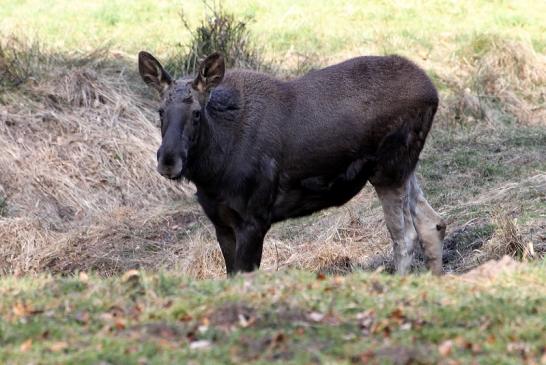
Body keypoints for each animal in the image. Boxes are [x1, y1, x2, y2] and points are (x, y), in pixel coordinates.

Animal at [138, 50, 444, 272]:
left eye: (197, 113)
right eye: (160, 111)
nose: (168, 160)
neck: (212, 173)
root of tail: (434, 93)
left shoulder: (255, 218)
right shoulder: (221, 222)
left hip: (388, 168)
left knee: (405, 236)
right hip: (404, 167)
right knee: (432, 223)